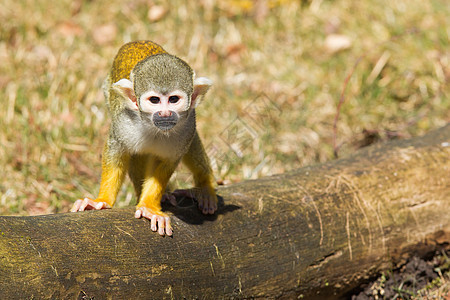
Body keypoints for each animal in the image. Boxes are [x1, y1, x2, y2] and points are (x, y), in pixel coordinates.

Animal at [71, 40, 218, 237]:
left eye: (173, 99)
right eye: (154, 100)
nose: (165, 114)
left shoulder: (187, 127)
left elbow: (169, 161)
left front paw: (149, 206)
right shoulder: (124, 123)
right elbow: (117, 150)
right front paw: (102, 201)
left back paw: (205, 186)